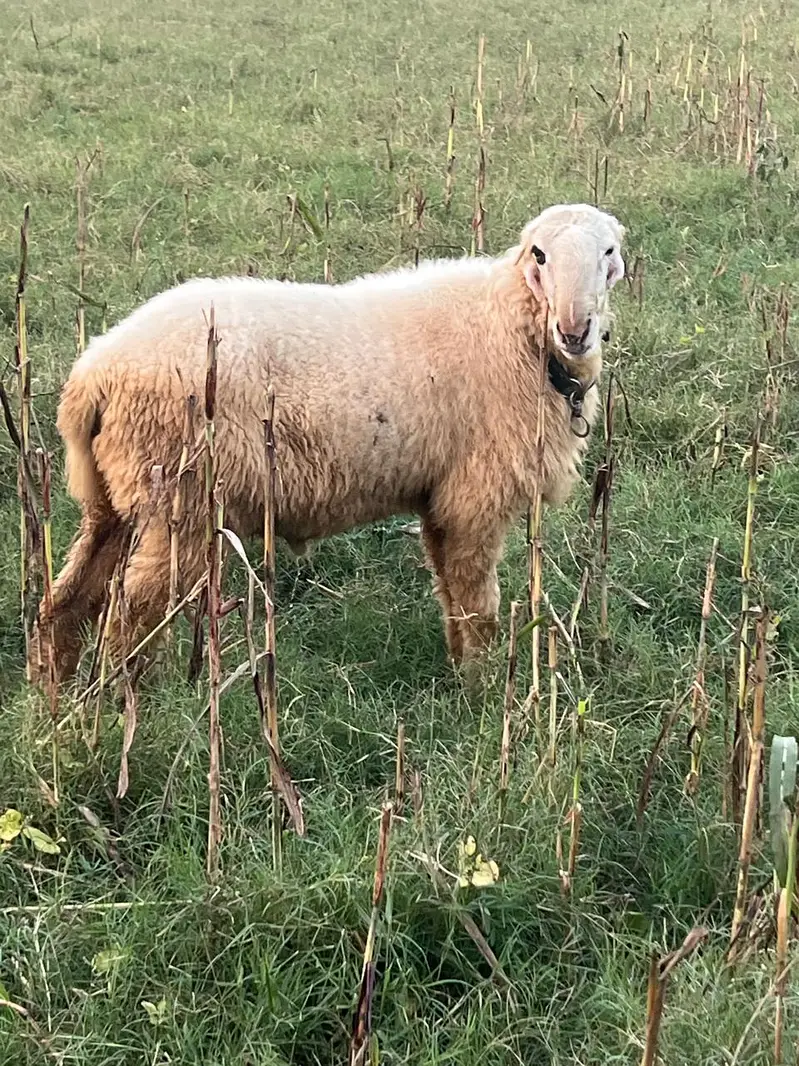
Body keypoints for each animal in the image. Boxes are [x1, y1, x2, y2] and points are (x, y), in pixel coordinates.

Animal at [31, 202, 626, 684]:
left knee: (66, 603)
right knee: (131, 615)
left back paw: (54, 701)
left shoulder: (440, 498)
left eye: (609, 252)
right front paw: (482, 693)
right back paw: (131, 702)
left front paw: (462, 678)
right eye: (540, 255)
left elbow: (453, 598)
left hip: (117, 499)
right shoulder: (473, 497)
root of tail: (94, 373)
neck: (513, 328)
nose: (575, 329)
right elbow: (479, 606)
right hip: (182, 499)